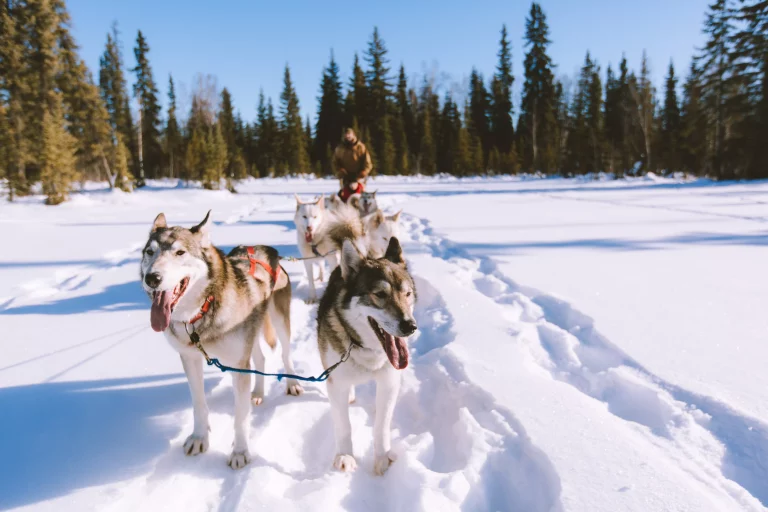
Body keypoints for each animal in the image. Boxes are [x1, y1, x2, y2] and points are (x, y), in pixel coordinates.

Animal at [141, 210, 304, 470]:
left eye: (180, 252)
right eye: (150, 252)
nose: (152, 278)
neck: (203, 310)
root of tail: (264, 248)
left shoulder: (238, 365)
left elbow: (240, 417)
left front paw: (240, 452)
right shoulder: (190, 358)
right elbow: (199, 403)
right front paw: (199, 438)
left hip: (279, 321)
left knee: (285, 354)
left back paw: (292, 384)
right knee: (259, 359)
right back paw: (258, 393)